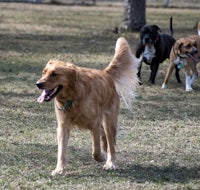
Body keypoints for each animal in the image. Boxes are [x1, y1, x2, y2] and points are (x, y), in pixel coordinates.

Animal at [36, 36, 140, 175]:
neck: (73, 97)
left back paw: (111, 163)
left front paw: (101, 157)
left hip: (109, 120)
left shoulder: (94, 123)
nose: (38, 84)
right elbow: (61, 151)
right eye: (43, 73)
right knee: (105, 137)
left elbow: (95, 150)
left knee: (111, 143)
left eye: (54, 74)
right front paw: (59, 169)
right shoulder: (63, 126)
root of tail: (105, 73)